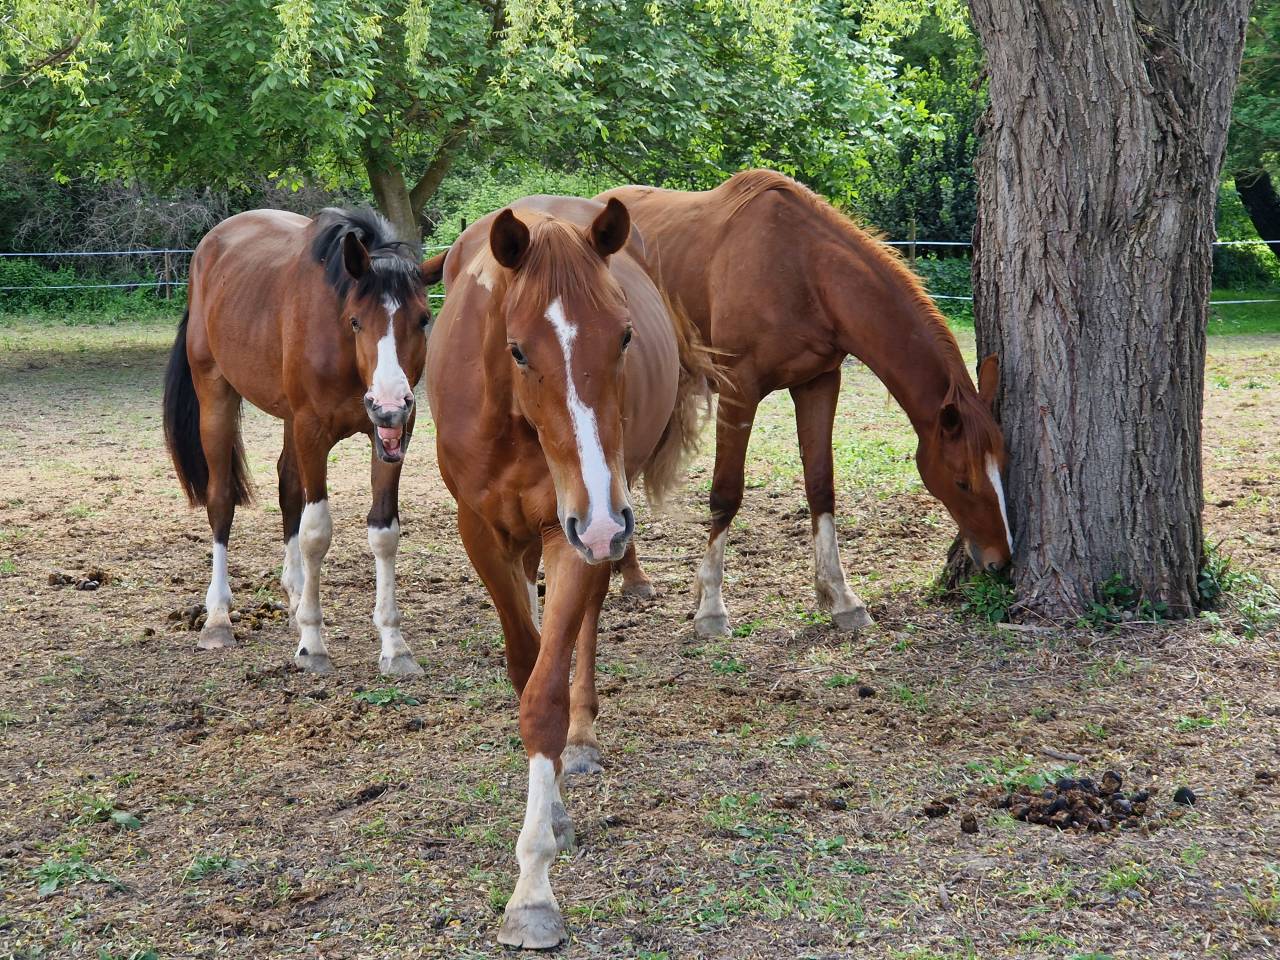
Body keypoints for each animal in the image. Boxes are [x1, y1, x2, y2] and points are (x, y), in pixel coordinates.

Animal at [163, 207, 446, 675]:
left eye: (423, 319)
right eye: (356, 320)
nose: (389, 403)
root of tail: (209, 246)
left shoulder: (391, 436)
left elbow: (383, 531)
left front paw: (394, 645)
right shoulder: (312, 431)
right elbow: (316, 532)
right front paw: (313, 643)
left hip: (289, 417)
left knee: (288, 488)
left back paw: (295, 594)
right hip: (216, 395)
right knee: (221, 501)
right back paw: (218, 618)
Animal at [428, 195, 712, 948]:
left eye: (623, 337)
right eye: (519, 349)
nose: (607, 522)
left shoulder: (576, 528)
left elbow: (545, 695)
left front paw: (533, 887)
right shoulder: (485, 533)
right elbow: (522, 663)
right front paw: (547, 816)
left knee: (587, 619)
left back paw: (581, 742)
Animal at [598, 170, 1012, 637]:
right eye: (963, 481)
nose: (1001, 561)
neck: (804, 270)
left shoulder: (819, 384)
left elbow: (820, 485)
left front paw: (841, 597)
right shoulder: (739, 391)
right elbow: (726, 493)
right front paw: (711, 607)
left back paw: (630, 575)